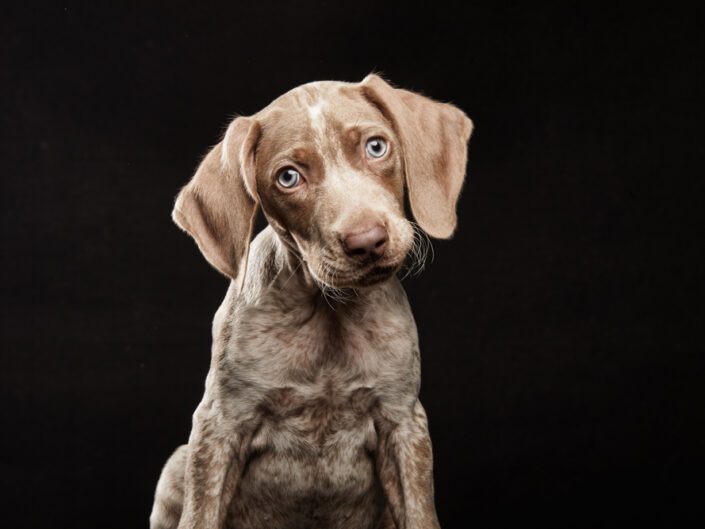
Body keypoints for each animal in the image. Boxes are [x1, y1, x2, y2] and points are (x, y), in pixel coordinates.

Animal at [151, 74, 472, 528]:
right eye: (288, 178)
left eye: (376, 147)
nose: (366, 240)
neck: (329, 311)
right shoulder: (219, 424)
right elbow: (201, 515)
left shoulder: (404, 423)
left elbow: (420, 514)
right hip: (176, 465)